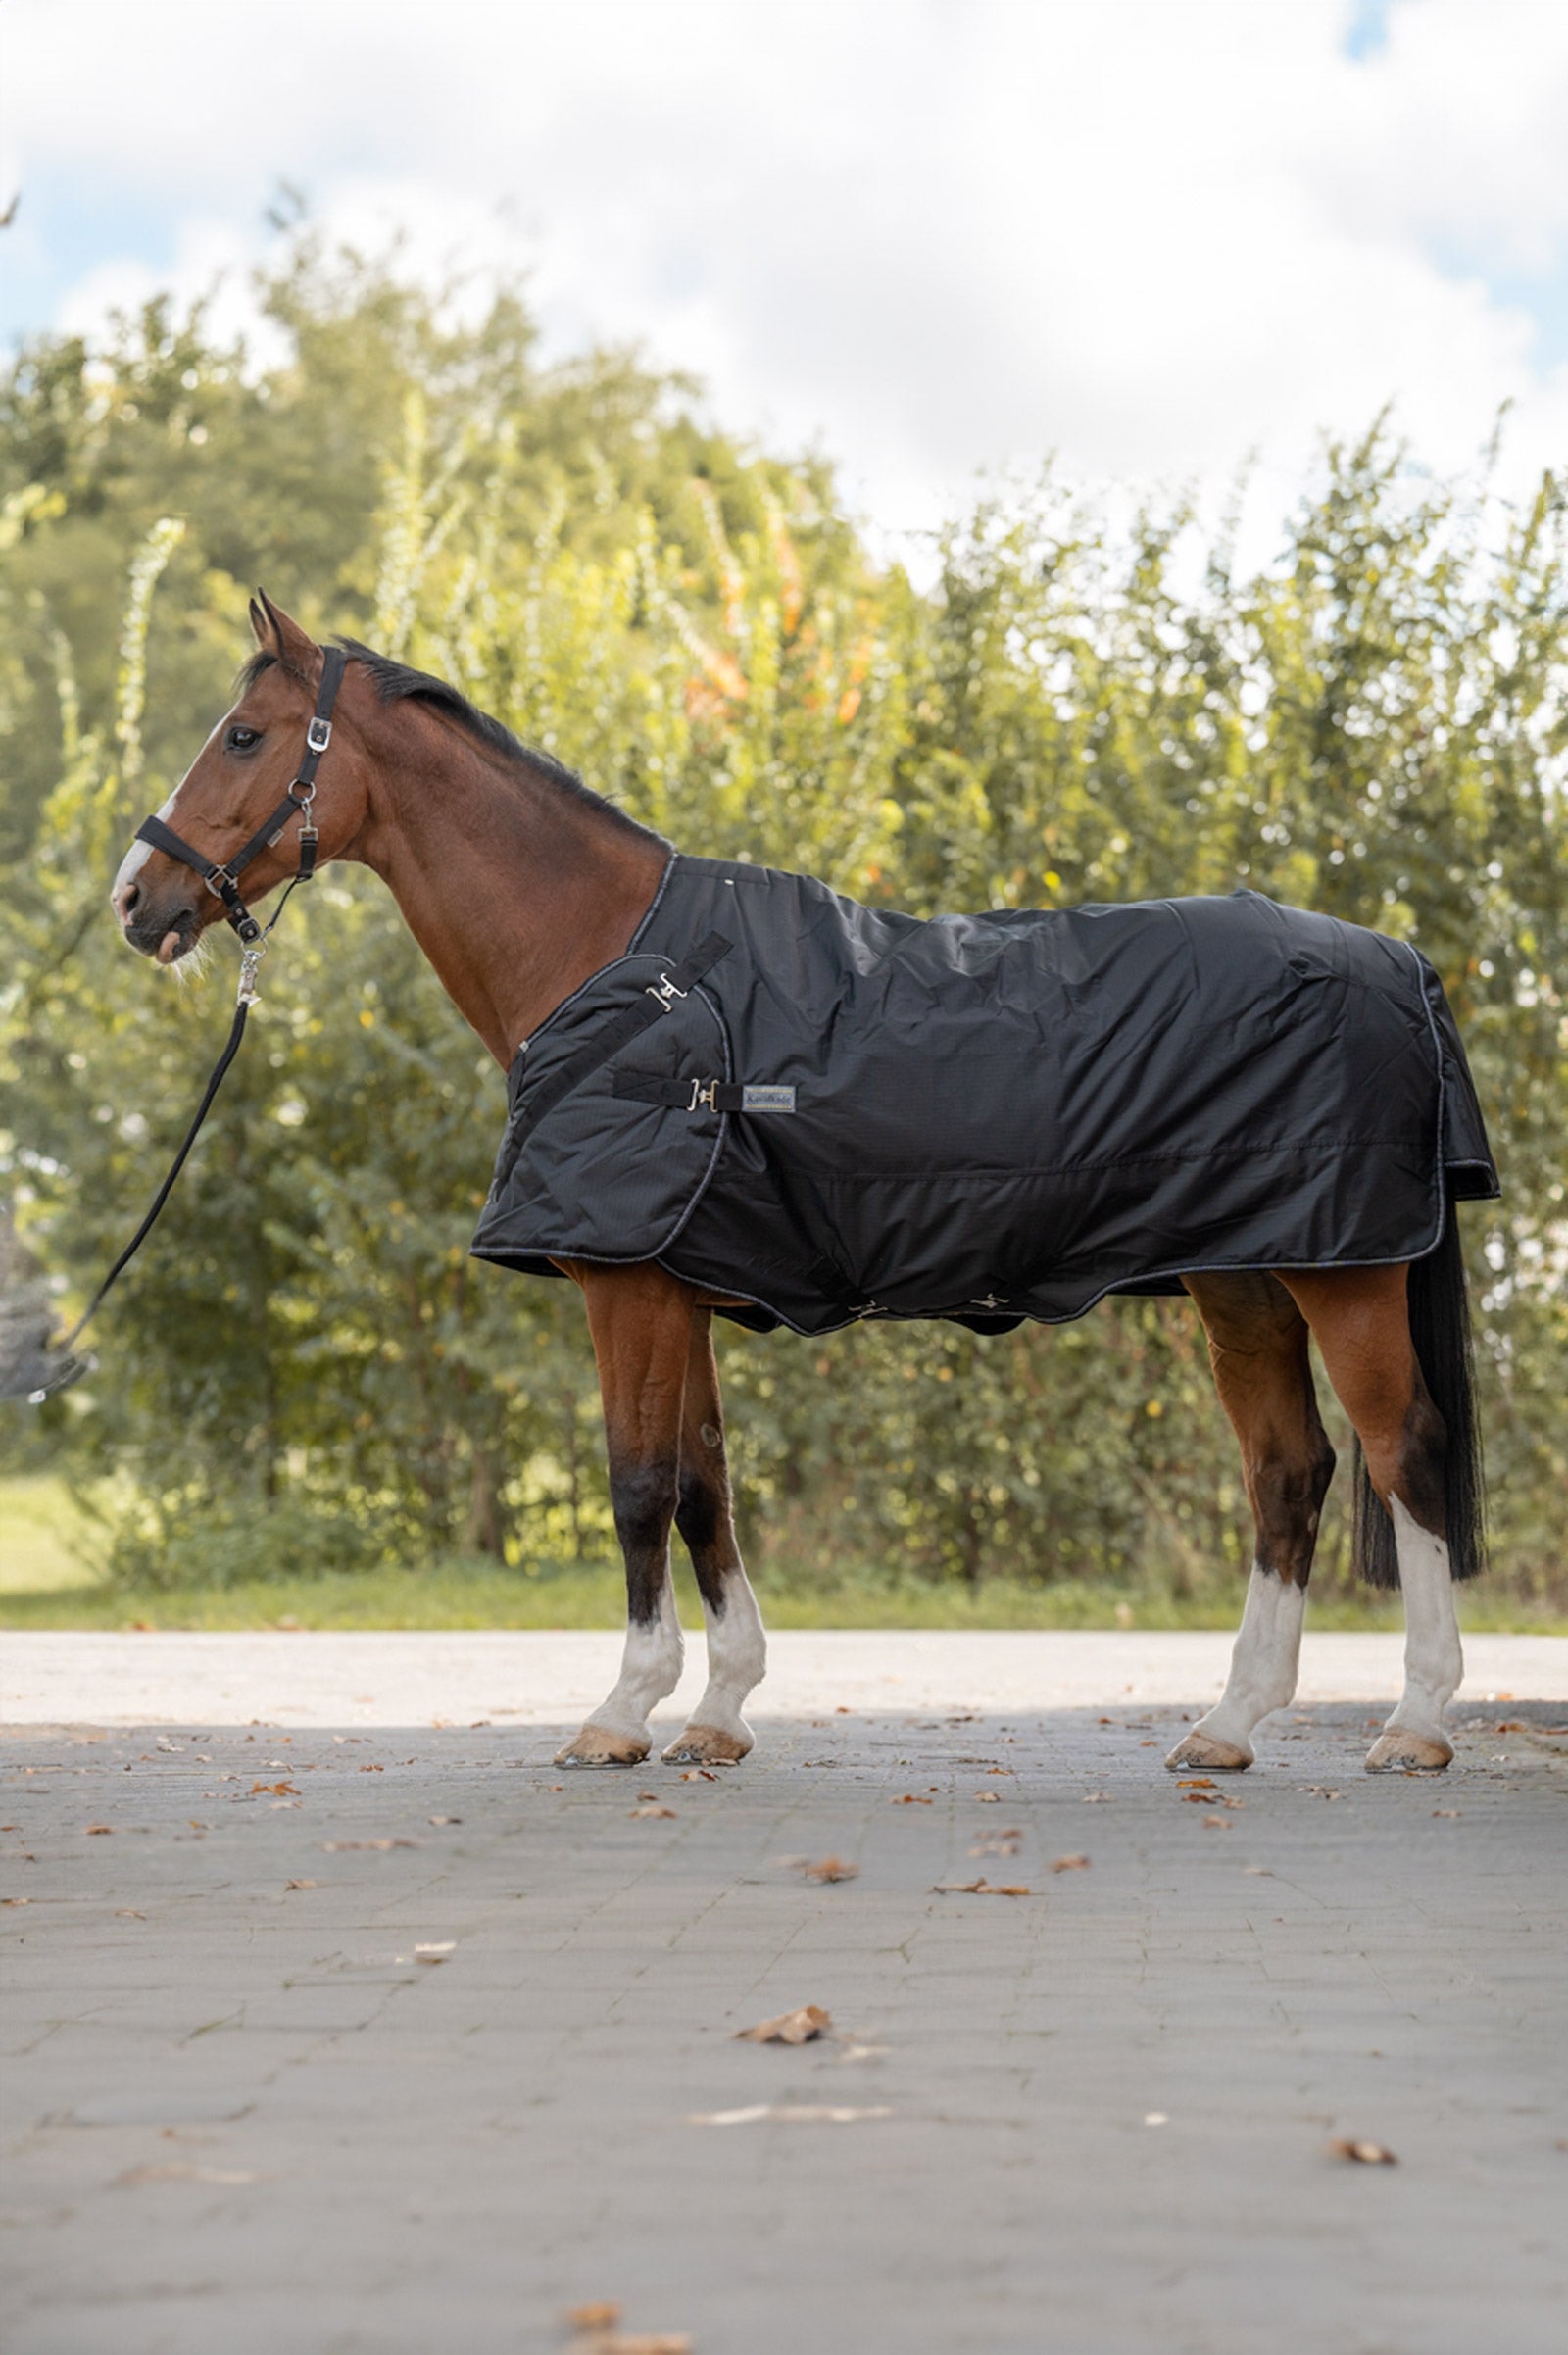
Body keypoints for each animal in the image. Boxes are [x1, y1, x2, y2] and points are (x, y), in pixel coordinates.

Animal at [110, 593, 1494, 1778]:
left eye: (243, 735)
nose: (136, 897)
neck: (618, 962)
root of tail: (1399, 958)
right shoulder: (679, 1283)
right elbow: (704, 1484)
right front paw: (718, 1710)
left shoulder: (626, 1287)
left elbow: (636, 1484)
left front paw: (621, 1712)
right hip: (1243, 1281)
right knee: (1287, 1472)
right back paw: (1227, 1725)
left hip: (1344, 1275)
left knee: (1403, 1455)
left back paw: (1416, 1724)